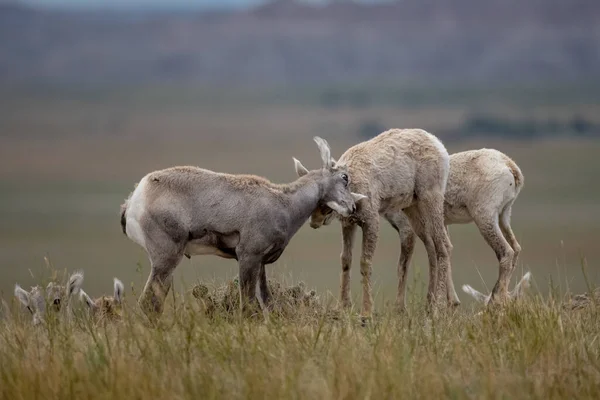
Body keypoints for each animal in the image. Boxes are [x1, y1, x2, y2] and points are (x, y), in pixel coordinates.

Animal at [120, 136, 366, 320]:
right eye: (344, 177)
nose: (353, 207)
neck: (283, 202)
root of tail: (135, 198)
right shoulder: (248, 257)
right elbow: (248, 307)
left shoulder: (261, 264)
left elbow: (266, 303)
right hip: (166, 260)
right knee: (149, 304)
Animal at [296, 129, 450, 316]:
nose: (314, 222)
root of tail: (437, 143)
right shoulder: (348, 224)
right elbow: (345, 260)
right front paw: (342, 306)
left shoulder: (371, 222)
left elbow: (365, 263)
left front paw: (367, 311)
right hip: (413, 209)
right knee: (431, 249)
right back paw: (423, 306)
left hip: (430, 200)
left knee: (443, 248)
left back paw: (438, 307)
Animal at [308, 147, 524, 310]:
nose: (315, 221)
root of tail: (510, 166)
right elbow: (439, 254)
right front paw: (446, 303)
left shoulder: (407, 229)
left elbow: (403, 265)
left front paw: (402, 308)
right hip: (503, 218)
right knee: (516, 249)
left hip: (485, 219)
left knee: (506, 252)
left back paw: (493, 304)